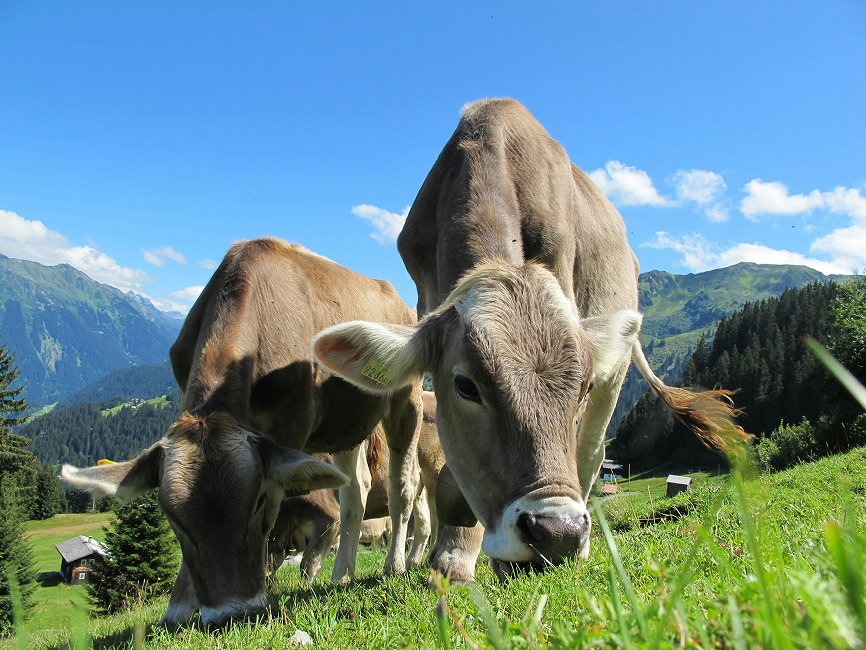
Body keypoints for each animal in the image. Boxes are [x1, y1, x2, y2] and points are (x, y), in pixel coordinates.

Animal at [62, 237, 423, 626]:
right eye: (171, 516)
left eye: (260, 501)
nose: (230, 614)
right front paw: (179, 607)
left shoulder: (291, 427)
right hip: (345, 422)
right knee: (355, 490)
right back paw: (342, 573)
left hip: (406, 398)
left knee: (403, 486)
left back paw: (395, 565)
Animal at [312, 99, 748, 582]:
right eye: (466, 386)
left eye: (582, 387)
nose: (558, 532)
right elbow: (452, 473)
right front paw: (454, 555)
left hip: (616, 371)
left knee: (591, 452)